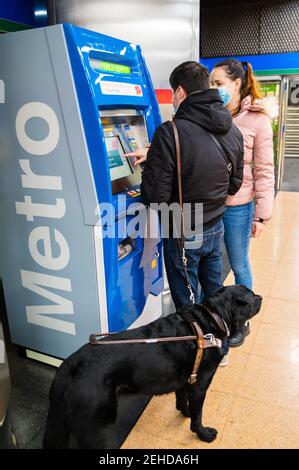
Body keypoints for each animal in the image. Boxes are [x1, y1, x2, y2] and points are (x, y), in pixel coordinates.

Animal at [42, 284, 262, 450]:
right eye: (251, 296)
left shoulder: (185, 380)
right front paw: (203, 434)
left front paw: (185, 412)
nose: (260, 296)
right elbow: (198, 416)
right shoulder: (199, 385)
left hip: (60, 424)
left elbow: (182, 401)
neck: (212, 317)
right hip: (95, 427)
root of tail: (69, 365)